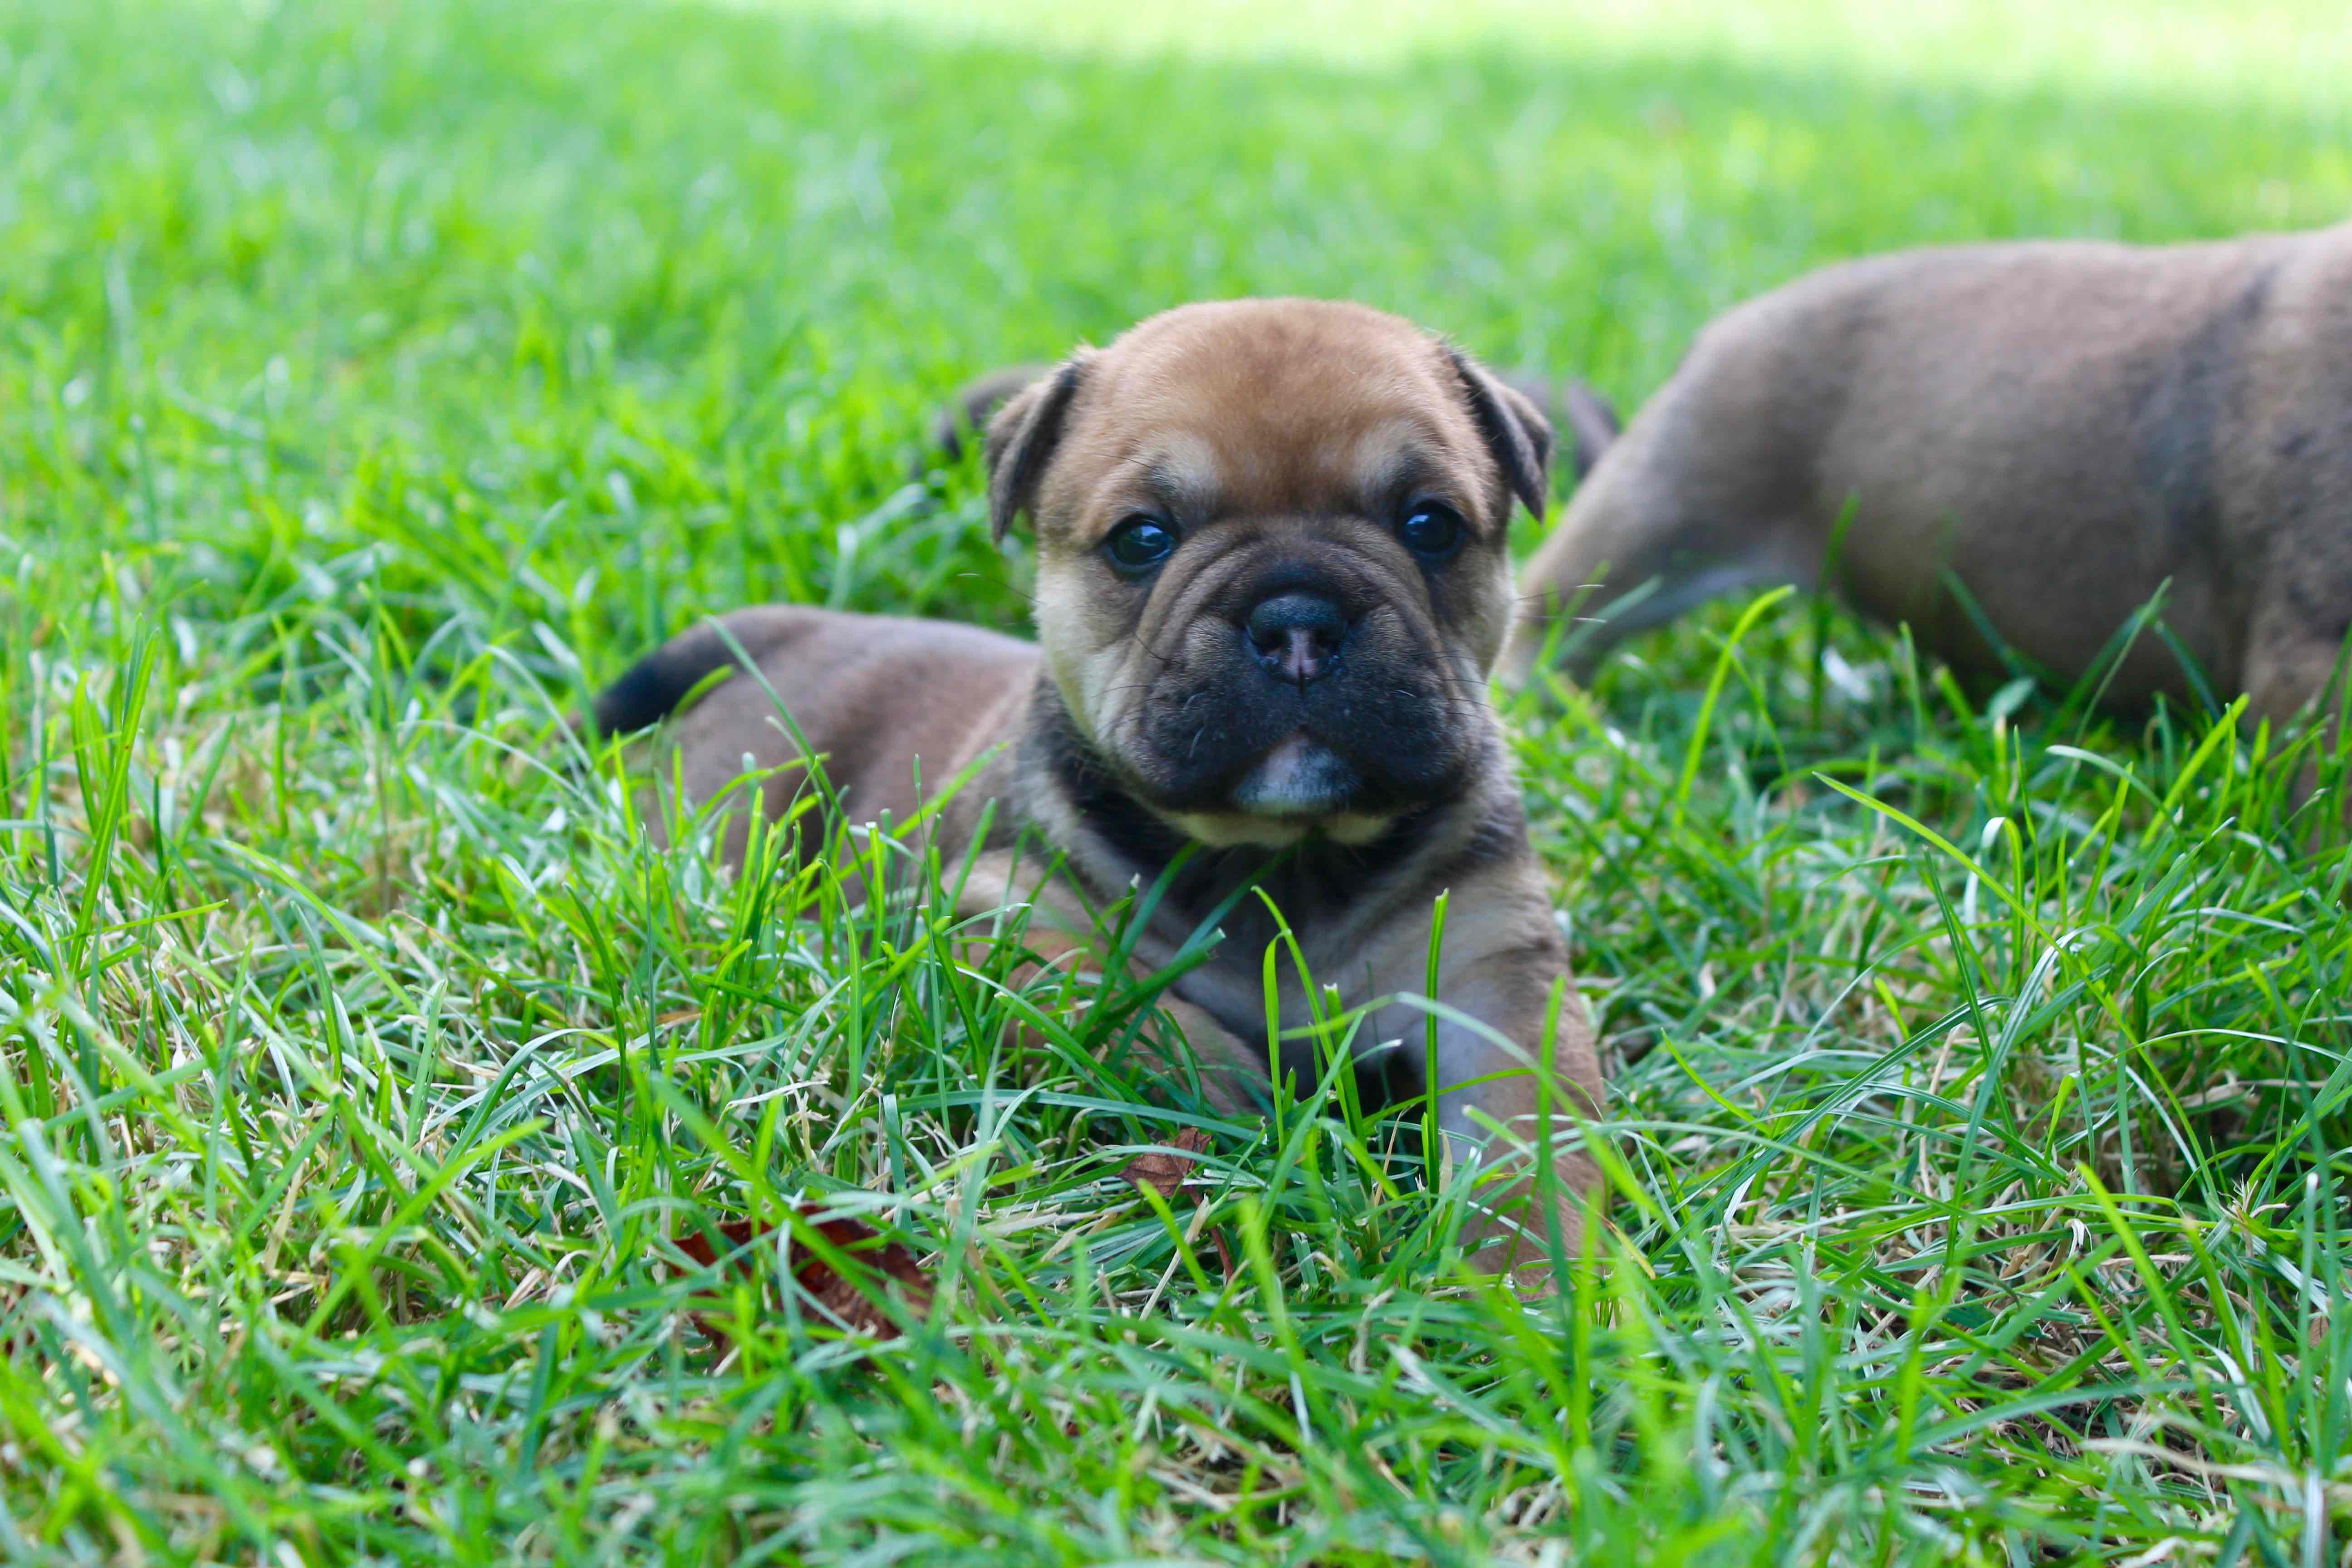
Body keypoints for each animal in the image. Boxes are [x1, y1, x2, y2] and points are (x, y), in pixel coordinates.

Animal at [597, 297, 1608, 1279]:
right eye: (1141, 541)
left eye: (1430, 527)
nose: (1297, 620)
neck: (1283, 857)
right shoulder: (994, 920)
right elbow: (1113, 999)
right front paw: (1228, 1089)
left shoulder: (1493, 975)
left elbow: (1530, 1139)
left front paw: (1533, 1281)